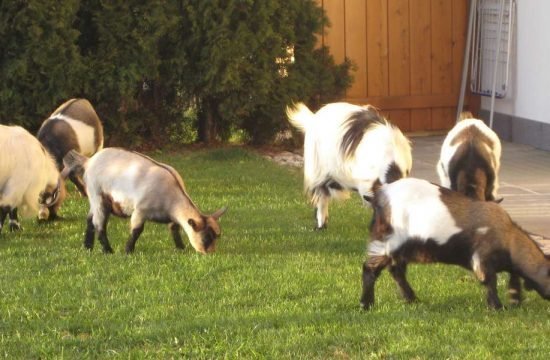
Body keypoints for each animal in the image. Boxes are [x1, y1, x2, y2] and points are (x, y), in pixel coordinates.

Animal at [63, 148, 227, 255]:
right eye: (206, 238)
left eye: (217, 236)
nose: (210, 253)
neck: (171, 197)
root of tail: (89, 162)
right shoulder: (140, 211)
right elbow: (136, 231)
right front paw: (128, 251)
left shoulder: (172, 218)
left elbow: (174, 229)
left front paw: (181, 248)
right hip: (97, 196)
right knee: (99, 224)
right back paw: (107, 250)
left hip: (96, 200)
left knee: (89, 220)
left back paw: (87, 247)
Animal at [362, 177, 550, 310]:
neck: (509, 236)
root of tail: (379, 195)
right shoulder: (482, 257)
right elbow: (490, 280)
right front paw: (497, 306)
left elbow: (513, 276)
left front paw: (515, 299)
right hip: (389, 241)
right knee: (370, 269)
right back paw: (366, 305)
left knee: (396, 271)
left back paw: (412, 300)